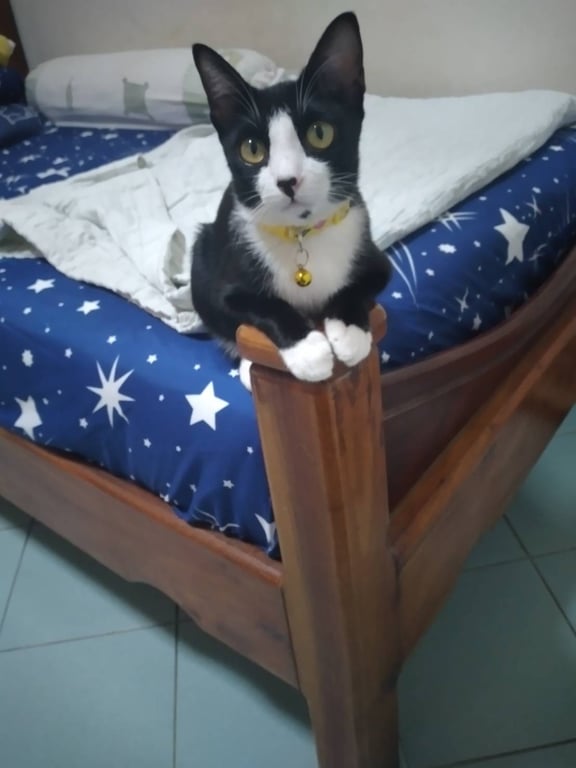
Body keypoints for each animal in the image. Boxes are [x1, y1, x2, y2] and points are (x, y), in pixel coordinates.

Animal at [191, 11, 391, 390]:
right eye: (252, 149)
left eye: (320, 133)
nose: (288, 181)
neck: (303, 234)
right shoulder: (223, 284)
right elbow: (257, 305)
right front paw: (308, 349)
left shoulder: (375, 257)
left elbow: (361, 284)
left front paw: (348, 331)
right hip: (203, 247)